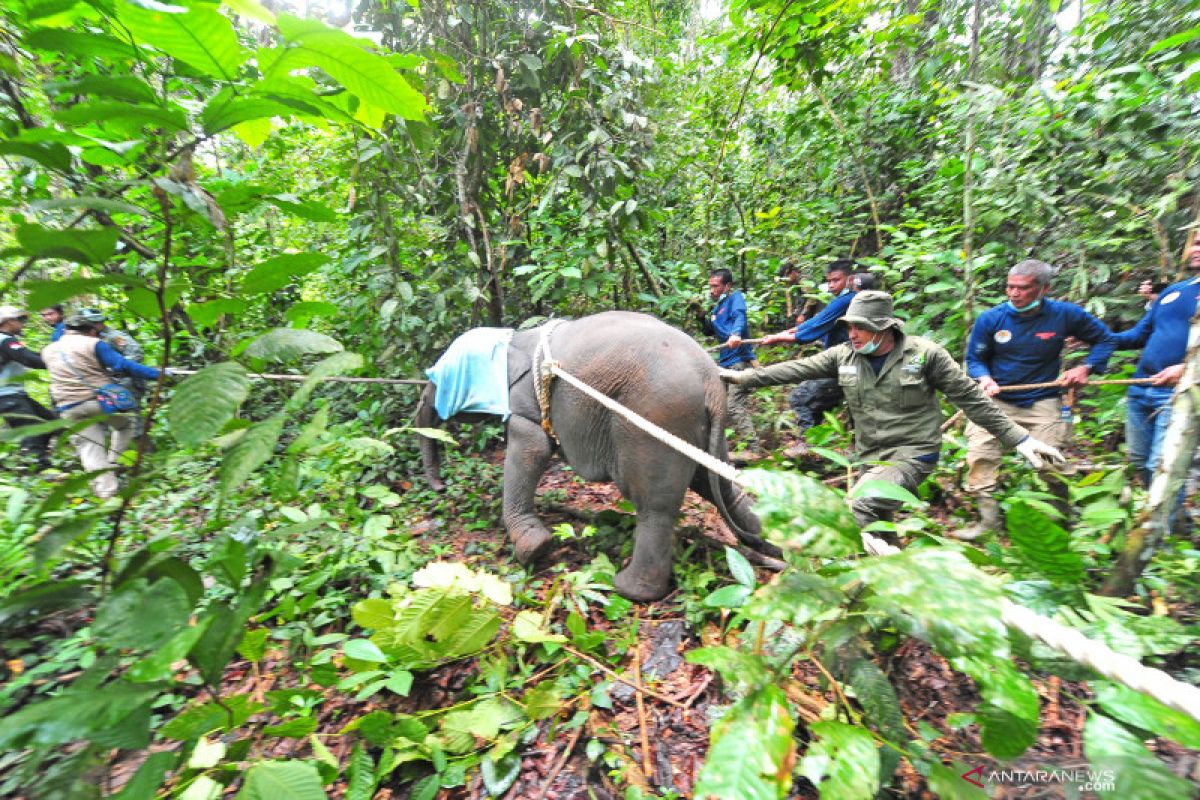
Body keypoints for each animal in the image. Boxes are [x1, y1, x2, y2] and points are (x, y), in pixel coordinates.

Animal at [415, 311, 768, 599]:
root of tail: (711, 382)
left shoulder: (524, 405)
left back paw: (627, 588)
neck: (514, 338)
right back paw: (763, 538)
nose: (441, 488)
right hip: (698, 428)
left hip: (653, 418)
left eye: (435, 378)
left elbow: (532, 448)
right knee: (717, 484)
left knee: (654, 506)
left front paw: (534, 550)